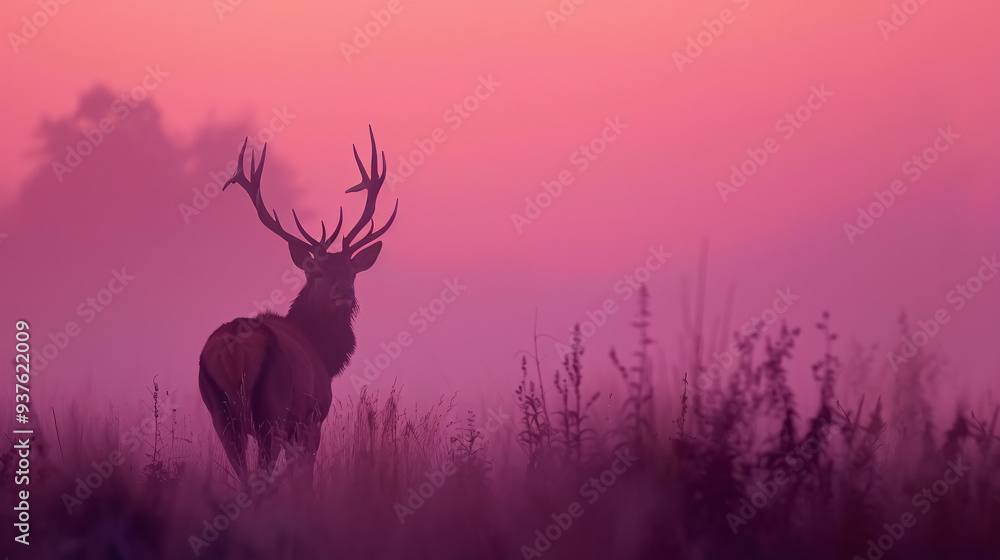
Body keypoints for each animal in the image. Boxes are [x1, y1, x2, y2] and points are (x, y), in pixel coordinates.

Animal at [198, 127, 397, 487]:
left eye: (351, 271)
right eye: (316, 271)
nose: (344, 291)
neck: (326, 356)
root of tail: (233, 350)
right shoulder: (312, 419)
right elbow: (303, 479)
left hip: (221, 415)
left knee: (243, 476)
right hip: (271, 412)